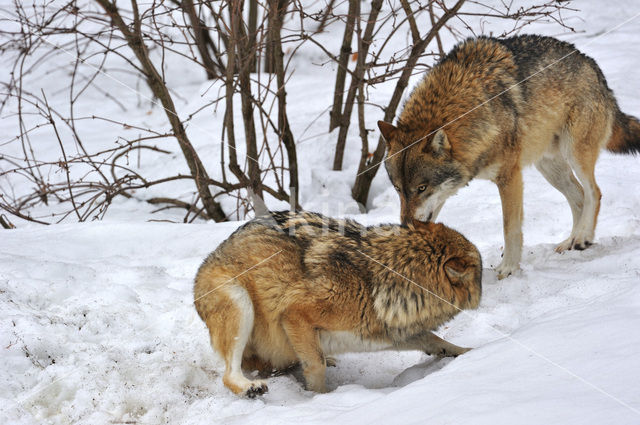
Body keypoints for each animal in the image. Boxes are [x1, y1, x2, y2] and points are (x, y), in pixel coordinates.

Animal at [195, 210, 480, 396]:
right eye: (479, 272)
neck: (375, 282)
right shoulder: (295, 313)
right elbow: (316, 367)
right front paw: (322, 399)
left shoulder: (385, 334)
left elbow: (435, 339)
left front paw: (469, 353)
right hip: (240, 303)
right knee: (229, 374)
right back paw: (249, 386)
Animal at [378, 34, 640, 278]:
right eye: (399, 189)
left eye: (421, 188)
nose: (405, 225)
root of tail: (593, 67)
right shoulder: (446, 192)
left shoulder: (509, 177)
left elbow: (510, 228)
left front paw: (509, 268)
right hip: (549, 168)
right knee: (579, 197)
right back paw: (571, 241)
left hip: (575, 154)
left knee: (594, 192)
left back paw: (584, 237)